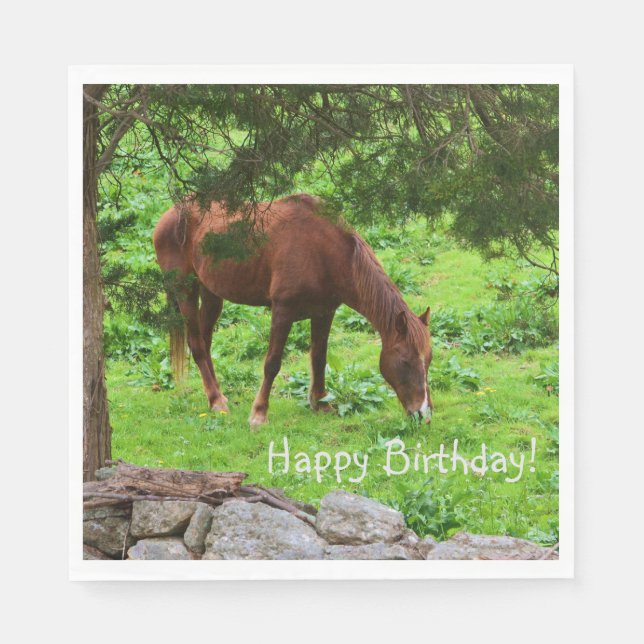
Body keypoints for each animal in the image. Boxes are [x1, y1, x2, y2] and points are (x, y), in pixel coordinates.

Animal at [153, 193, 433, 427]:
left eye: (428, 360)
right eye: (405, 361)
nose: (423, 414)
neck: (325, 252)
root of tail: (169, 215)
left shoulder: (324, 312)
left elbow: (319, 357)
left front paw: (320, 403)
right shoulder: (283, 311)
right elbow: (272, 363)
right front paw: (259, 414)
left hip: (211, 294)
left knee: (204, 341)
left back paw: (216, 396)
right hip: (185, 290)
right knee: (197, 344)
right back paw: (217, 401)